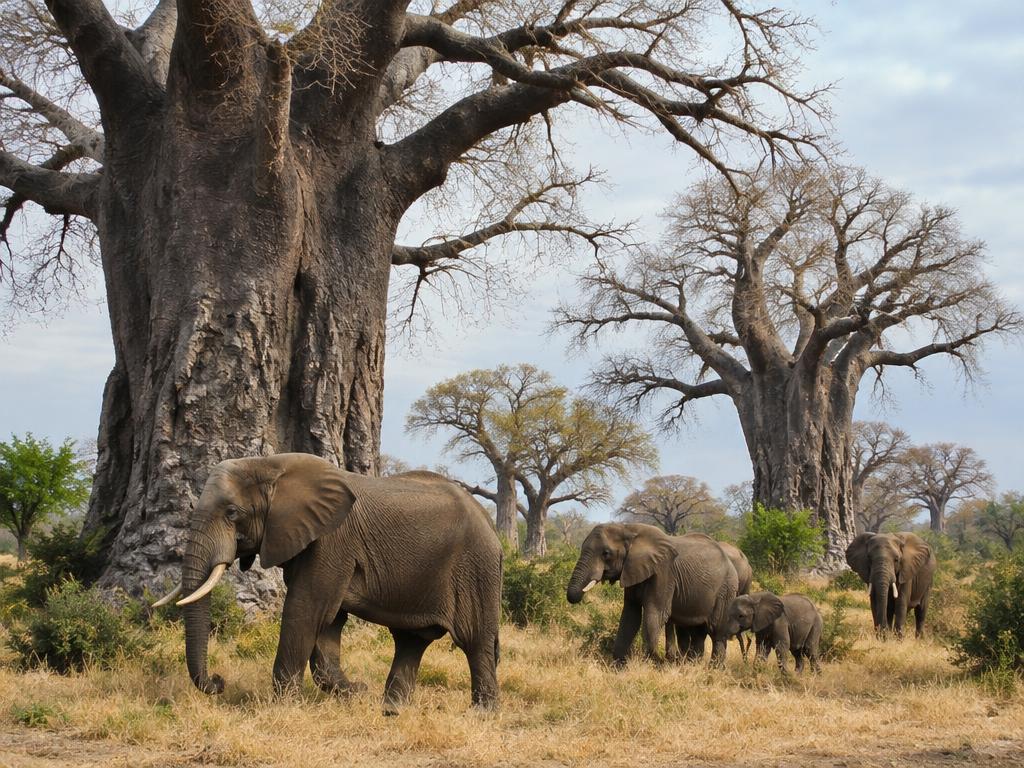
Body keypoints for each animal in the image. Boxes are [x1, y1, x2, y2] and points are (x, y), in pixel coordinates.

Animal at [152, 453, 502, 712]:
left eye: (232, 513)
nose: (218, 682)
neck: (269, 464)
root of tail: (491, 525)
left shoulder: (332, 540)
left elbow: (306, 610)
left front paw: (284, 708)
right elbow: (328, 621)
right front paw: (353, 692)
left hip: (477, 568)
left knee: (474, 640)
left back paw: (480, 714)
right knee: (411, 640)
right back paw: (391, 710)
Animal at [566, 524, 738, 666]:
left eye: (606, 553)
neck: (627, 529)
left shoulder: (663, 573)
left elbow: (655, 614)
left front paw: (652, 664)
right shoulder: (632, 570)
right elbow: (630, 615)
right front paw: (618, 667)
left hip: (726, 590)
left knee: (716, 631)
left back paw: (713, 669)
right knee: (697, 632)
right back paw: (691, 666)